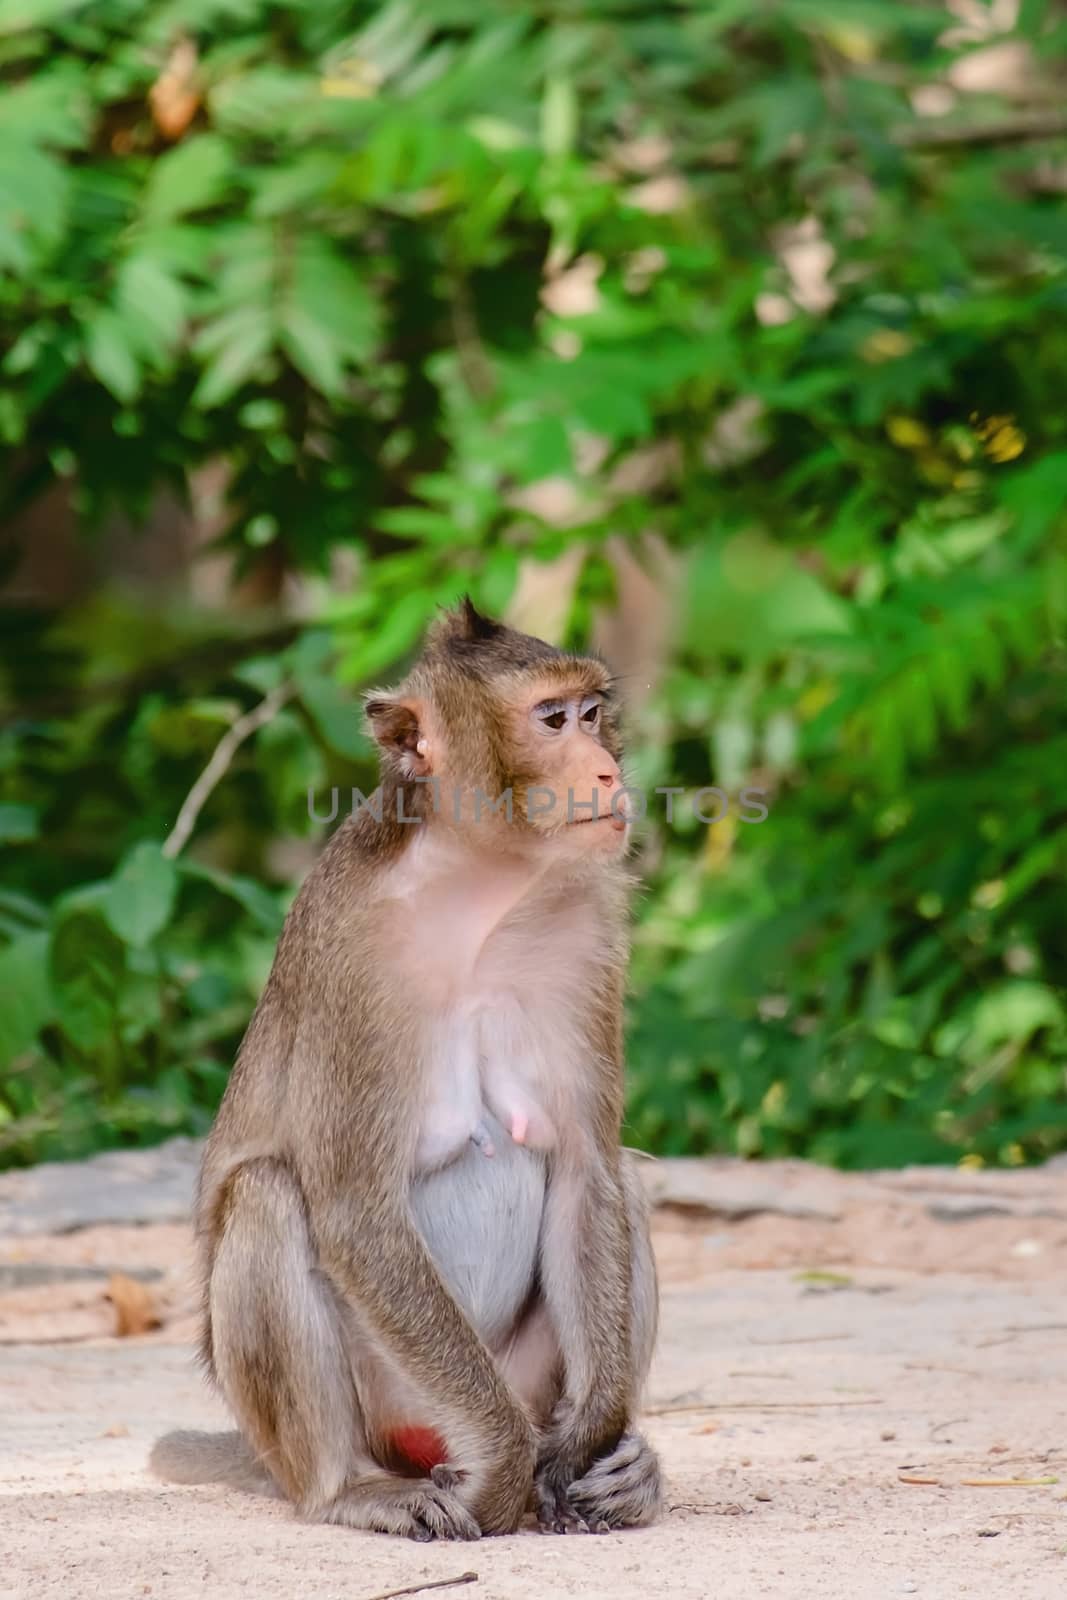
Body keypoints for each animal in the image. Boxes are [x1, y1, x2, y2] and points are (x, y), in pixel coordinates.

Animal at [151, 598, 659, 1536]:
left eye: (592, 712)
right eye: (552, 720)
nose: (606, 771)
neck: (478, 888)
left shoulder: (586, 928)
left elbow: (588, 1170)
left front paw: (589, 1440)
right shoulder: (353, 958)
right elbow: (355, 1211)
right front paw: (504, 1470)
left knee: (627, 1178)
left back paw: (630, 1464)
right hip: (386, 1401)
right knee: (268, 1195)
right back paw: (350, 1489)